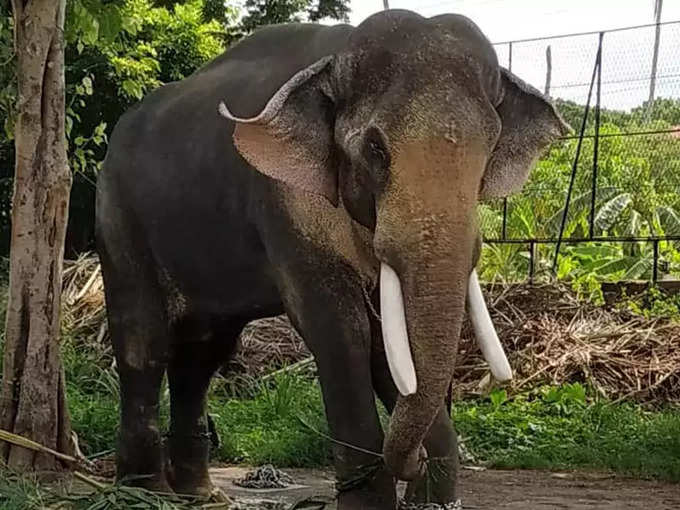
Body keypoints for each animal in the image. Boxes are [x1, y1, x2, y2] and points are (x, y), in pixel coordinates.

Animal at [95, 8, 568, 510]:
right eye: (375, 149)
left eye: (489, 148)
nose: (415, 463)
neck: (335, 57)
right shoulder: (284, 201)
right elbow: (342, 329)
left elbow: (387, 341)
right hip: (119, 216)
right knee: (145, 344)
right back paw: (144, 492)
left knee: (204, 353)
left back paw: (201, 496)